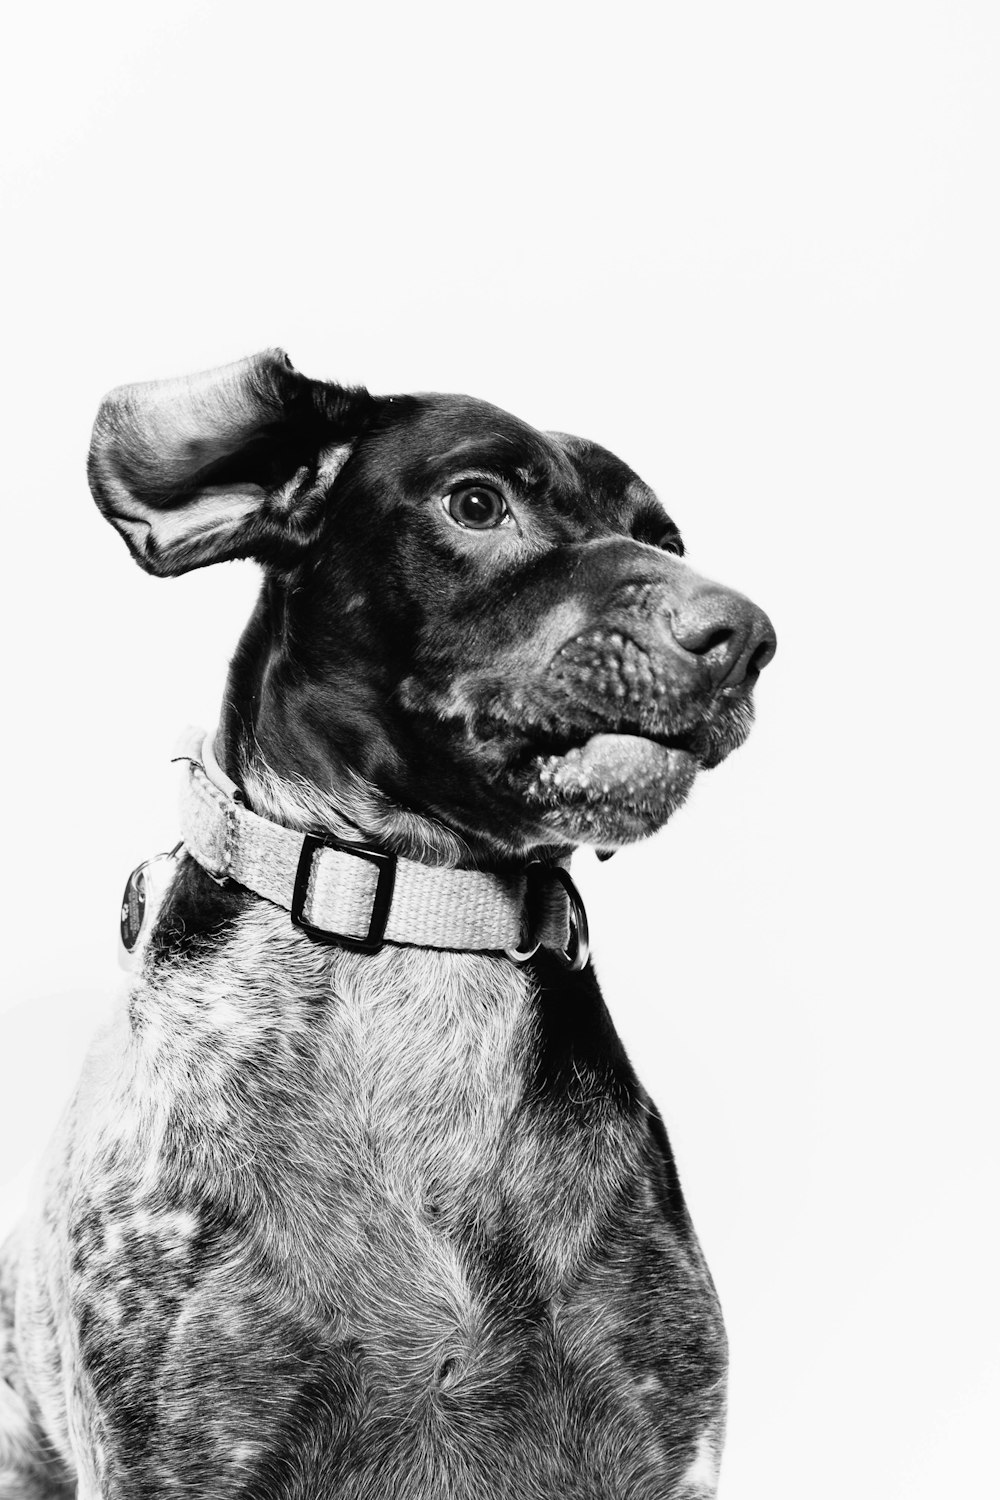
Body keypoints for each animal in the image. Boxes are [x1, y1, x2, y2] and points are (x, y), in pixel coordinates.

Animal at [0, 351, 773, 1500]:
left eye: (665, 540)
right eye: (476, 504)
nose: (748, 640)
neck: (426, 925)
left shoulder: (654, 1446)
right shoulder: (180, 1454)